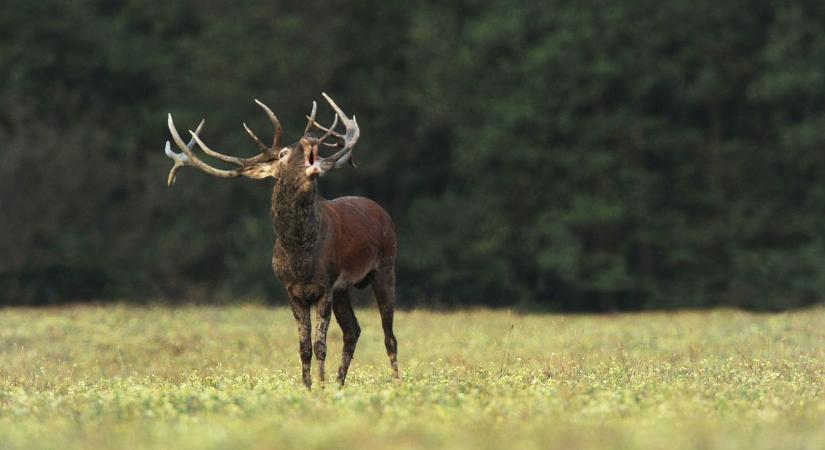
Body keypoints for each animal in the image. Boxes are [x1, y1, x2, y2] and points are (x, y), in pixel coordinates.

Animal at [163, 93, 398, 388]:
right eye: (284, 153)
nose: (310, 138)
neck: (300, 256)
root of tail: (382, 211)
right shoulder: (292, 289)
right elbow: (304, 347)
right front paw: (309, 387)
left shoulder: (326, 284)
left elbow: (320, 345)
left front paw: (320, 386)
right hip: (345, 288)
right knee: (353, 331)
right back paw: (340, 384)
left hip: (385, 266)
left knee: (389, 336)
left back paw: (396, 382)